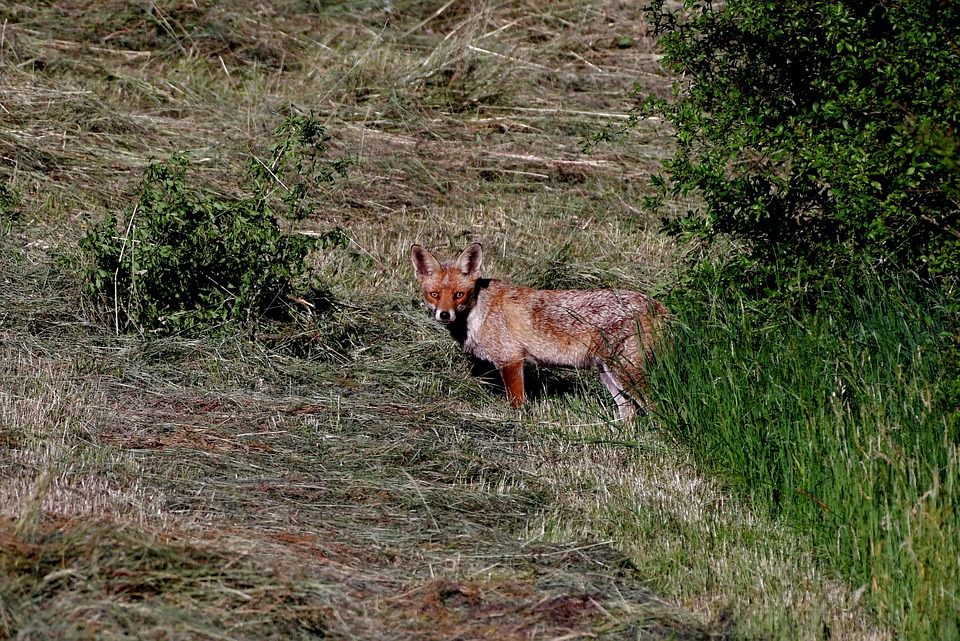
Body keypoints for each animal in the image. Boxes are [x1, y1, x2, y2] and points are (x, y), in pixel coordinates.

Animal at [410, 243, 669, 421]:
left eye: (459, 295)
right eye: (434, 294)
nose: (444, 315)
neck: (479, 313)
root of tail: (656, 305)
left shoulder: (511, 360)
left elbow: (517, 402)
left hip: (625, 373)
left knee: (658, 405)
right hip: (609, 375)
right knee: (630, 413)